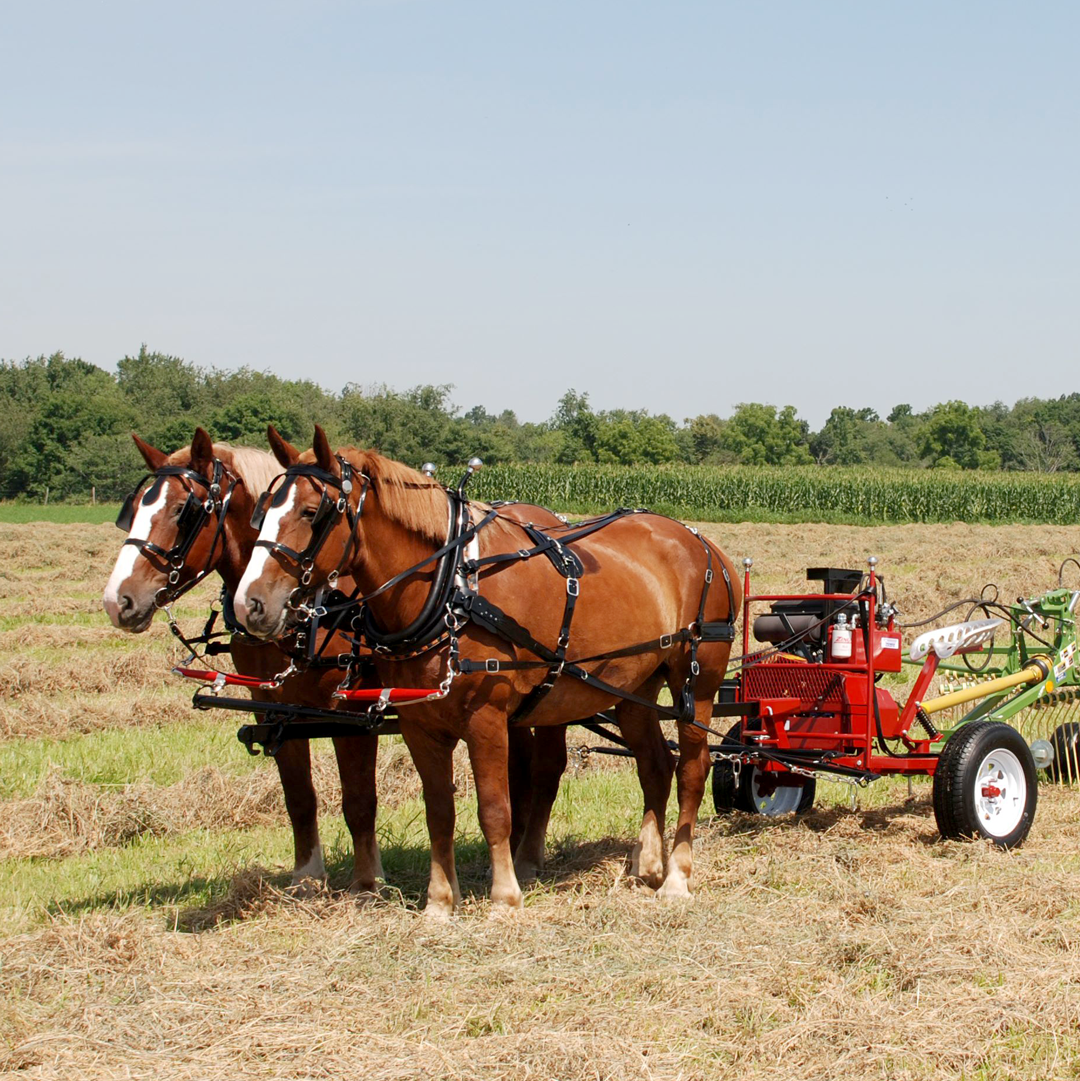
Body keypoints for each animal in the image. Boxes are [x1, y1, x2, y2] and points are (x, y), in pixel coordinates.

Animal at [104, 425, 570, 890]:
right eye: (135, 509)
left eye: (183, 511)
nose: (117, 601)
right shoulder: (276, 711)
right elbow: (299, 798)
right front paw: (306, 876)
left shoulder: (351, 714)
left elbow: (359, 799)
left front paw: (368, 882)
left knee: (547, 769)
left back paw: (527, 859)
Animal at [236, 425, 743, 916]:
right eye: (261, 512)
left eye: (311, 512)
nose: (249, 605)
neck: (450, 588)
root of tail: (704, 544)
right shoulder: (419, 723)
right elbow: (439, 811)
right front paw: (440, 901)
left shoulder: (487, 717)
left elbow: (495, 809)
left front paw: (504, 896)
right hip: (633, 688)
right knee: (655, 764)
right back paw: (649, 864)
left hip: (697, 682)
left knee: (692, 768)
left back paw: (676, 877)